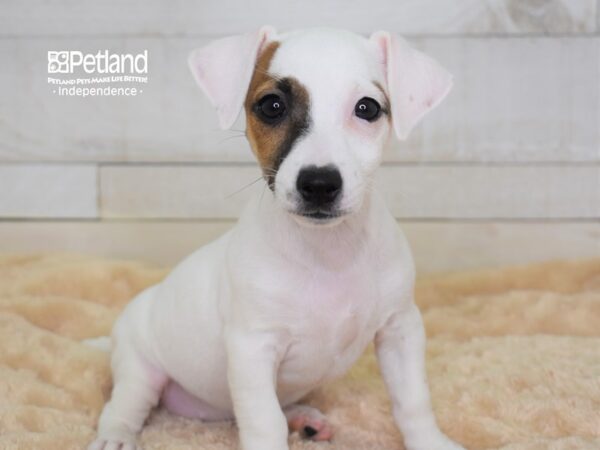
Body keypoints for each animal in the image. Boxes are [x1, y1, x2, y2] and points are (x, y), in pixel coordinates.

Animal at [88, 26, 464, 450]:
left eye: (367, 108)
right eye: (272, 106)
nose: (319, 183)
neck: (328, 251)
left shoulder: (401, 329)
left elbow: (413, 400)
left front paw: (431, 441)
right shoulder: (253, 348)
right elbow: (265, 421)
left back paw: (305, 418)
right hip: (140, 367)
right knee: (124, 404)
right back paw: (115, 436)